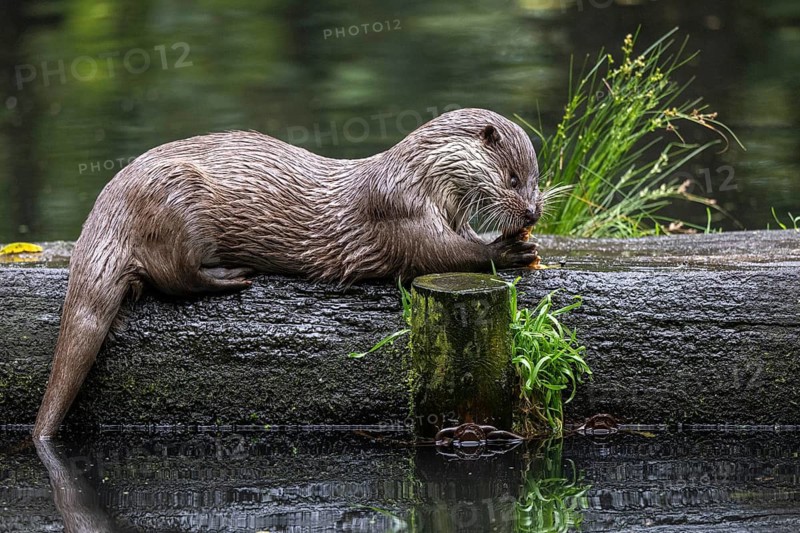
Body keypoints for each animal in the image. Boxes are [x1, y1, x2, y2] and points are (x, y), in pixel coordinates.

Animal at [33, 108, 543, 438]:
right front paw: (507, 250)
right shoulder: (401, 211)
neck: (423, 177)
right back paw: (232, 274)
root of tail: (109, 207)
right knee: (176, 277)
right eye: (513, 179)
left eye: (536, 181)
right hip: (176, 203)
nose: (533, 212)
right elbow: (443, 254)